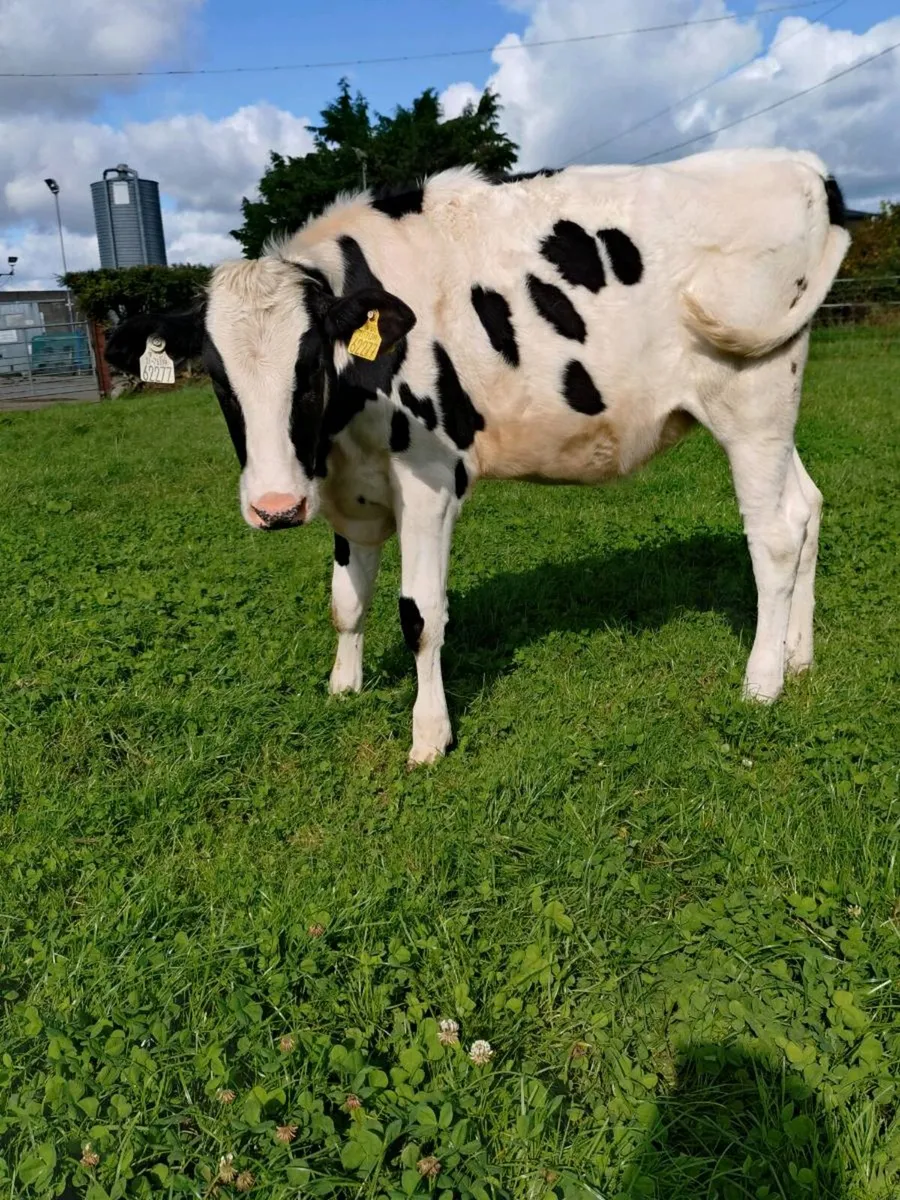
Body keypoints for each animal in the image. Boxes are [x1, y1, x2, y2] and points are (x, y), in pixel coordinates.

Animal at [104, 148, 849, 765]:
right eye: (217, 375)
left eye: (311, 363)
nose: (275, 507)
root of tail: (799, 163)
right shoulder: (351, 491)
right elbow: (346, 603)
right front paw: (343, 687)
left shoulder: (430, 479)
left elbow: (419, 613)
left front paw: (429, 736)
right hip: (772, 406)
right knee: (806, 508)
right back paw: (799, 657)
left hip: (751, 399)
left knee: (774, 535)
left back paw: (762, 682)